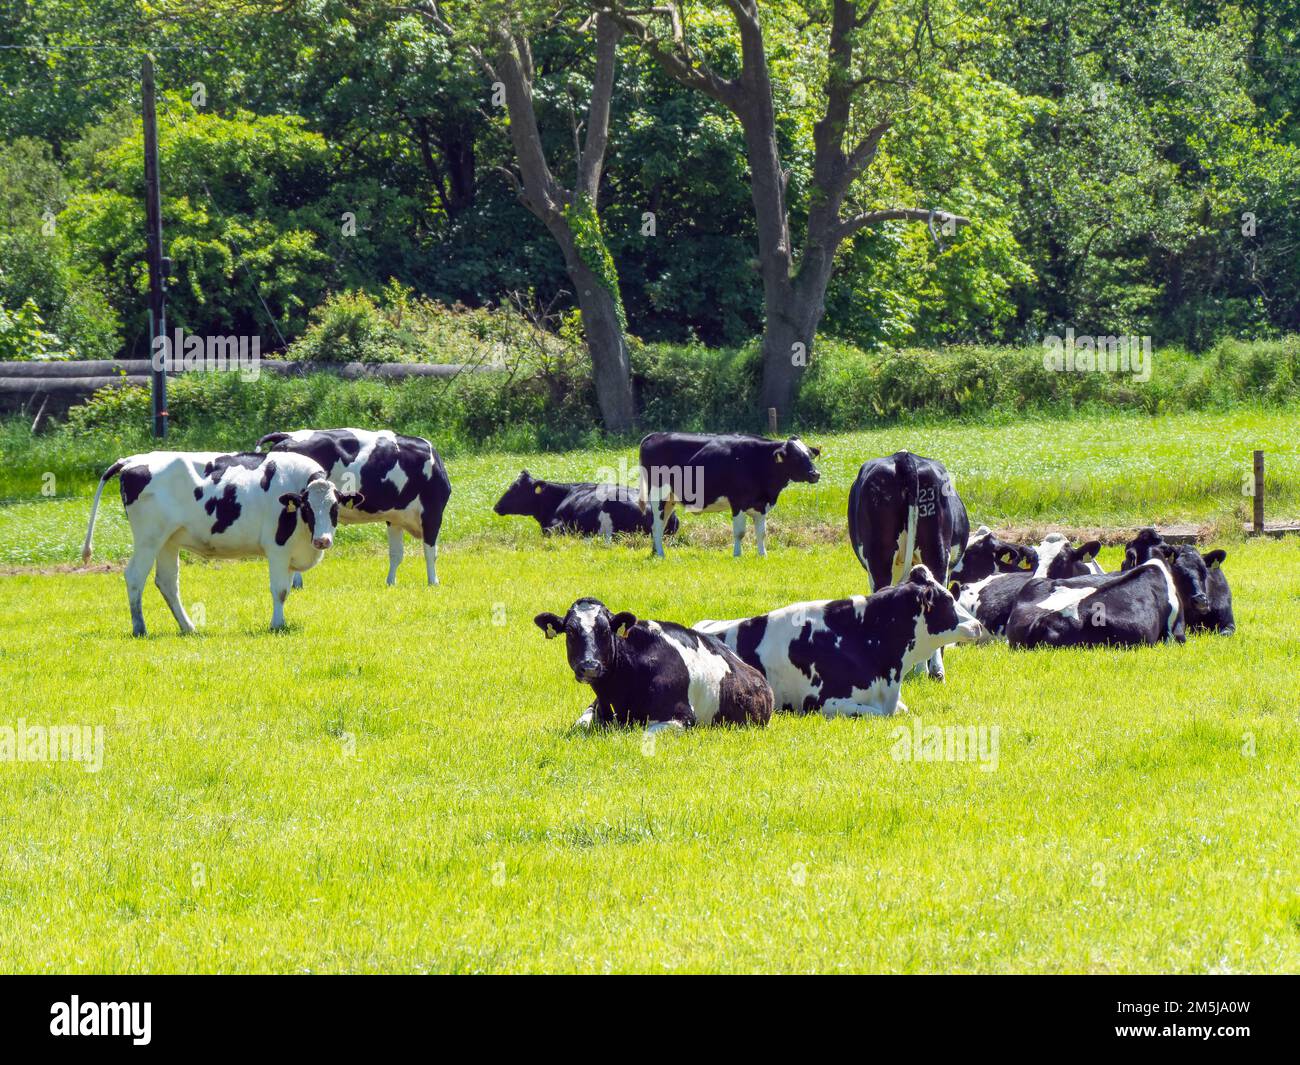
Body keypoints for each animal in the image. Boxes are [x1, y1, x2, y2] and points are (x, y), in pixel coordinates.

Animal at [81, 450, 358, 635]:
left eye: (334, 507)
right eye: (308, 508)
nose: (322, 540)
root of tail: (131, 460)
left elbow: (287, 589)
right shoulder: (277, 548)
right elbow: (279, 590)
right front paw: (277, 625)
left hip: (167, 540)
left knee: (167, 582)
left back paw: (189, 627)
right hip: (148, 538)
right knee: (135, 577)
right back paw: (140, 628)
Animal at [255, 428, 450, 587]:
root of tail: (287, 435)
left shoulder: (395, 518)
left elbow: (396, 554)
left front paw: (390, 582)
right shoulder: (433, 513)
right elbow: (431, 551)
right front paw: (433, 582)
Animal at [637, 432, 821, 558]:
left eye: (810, 455)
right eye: (796, 457)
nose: (815, 474)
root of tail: (656, 435)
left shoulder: (761, 505)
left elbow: (762, 533)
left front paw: (763, 555)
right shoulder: (738, 502)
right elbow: (740, 532)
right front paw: (737, 555)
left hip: (670, 499)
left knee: (660, 525)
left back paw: (655, 552)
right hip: (658, 495)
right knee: (657, 526)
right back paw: (661, 554)